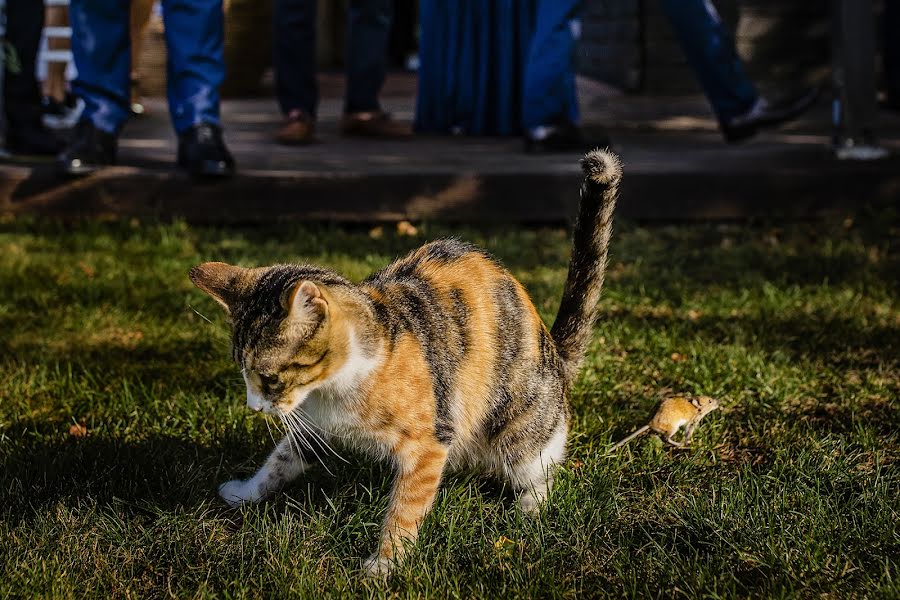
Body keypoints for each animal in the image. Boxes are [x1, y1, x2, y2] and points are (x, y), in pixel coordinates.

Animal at [192, 148, 620, 576]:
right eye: (242, 372)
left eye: (269, 378)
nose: (253, 407)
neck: (334, 390)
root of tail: (554, 350)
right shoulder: (312, 425)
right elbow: (280, 460)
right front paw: (245, 492)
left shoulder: (430, 443)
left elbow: (406, 507)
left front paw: (384, 564)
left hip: (519, 428)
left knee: (540, 467)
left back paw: (531, 506)